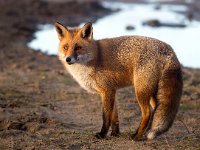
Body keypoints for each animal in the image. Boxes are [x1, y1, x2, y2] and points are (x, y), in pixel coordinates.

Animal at [54, 21, 183, 140]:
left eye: (78, 48)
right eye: (65, 47)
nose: (68, 59)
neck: (95, 57)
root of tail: (170, 51)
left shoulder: (106, 90)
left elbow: (106, 116)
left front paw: (102, 134)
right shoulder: (111, 90)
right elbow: (114, 116)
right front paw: (115, 133)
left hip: (141, 90)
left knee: (147, 112)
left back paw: (137, 136)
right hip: (151, 91)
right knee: (157, 111)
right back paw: (148, 133)